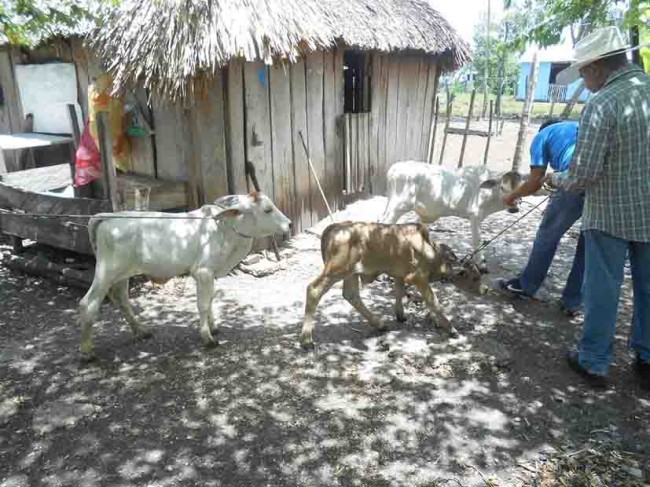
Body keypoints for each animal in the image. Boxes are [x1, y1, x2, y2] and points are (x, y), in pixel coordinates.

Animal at [77, 193, 290, 360]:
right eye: (267, 210)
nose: (289, 223)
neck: (223, 229)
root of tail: (106, 217)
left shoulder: (209, 275)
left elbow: (210, 301)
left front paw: (213, 327)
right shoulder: (203, 272)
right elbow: (203, 305)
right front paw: (208, 338)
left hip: (123, 274)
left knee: (121, 299)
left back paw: (141, 331)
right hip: (106, 272)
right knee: (88, 303)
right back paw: (87, 351)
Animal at [302, 221, 484, 350]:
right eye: (475, 278)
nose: (484, 290)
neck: (432, 250)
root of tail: (333, 227)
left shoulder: (399, 274)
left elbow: (399, 292)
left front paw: (401, 315)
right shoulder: (417, 277)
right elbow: (434, 302)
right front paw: (452, 329)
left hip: (351, 274)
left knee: (351, 295)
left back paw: (380, 324)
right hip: (336, 270)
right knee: (314, 290)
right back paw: (306, 340)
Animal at [380, 163, 520, 270]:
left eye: (520, 188)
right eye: (502, 187)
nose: (514, 208)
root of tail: (395, 168)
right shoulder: (475, 214)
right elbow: (477, 240)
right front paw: (481, 263)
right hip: (398, 205)